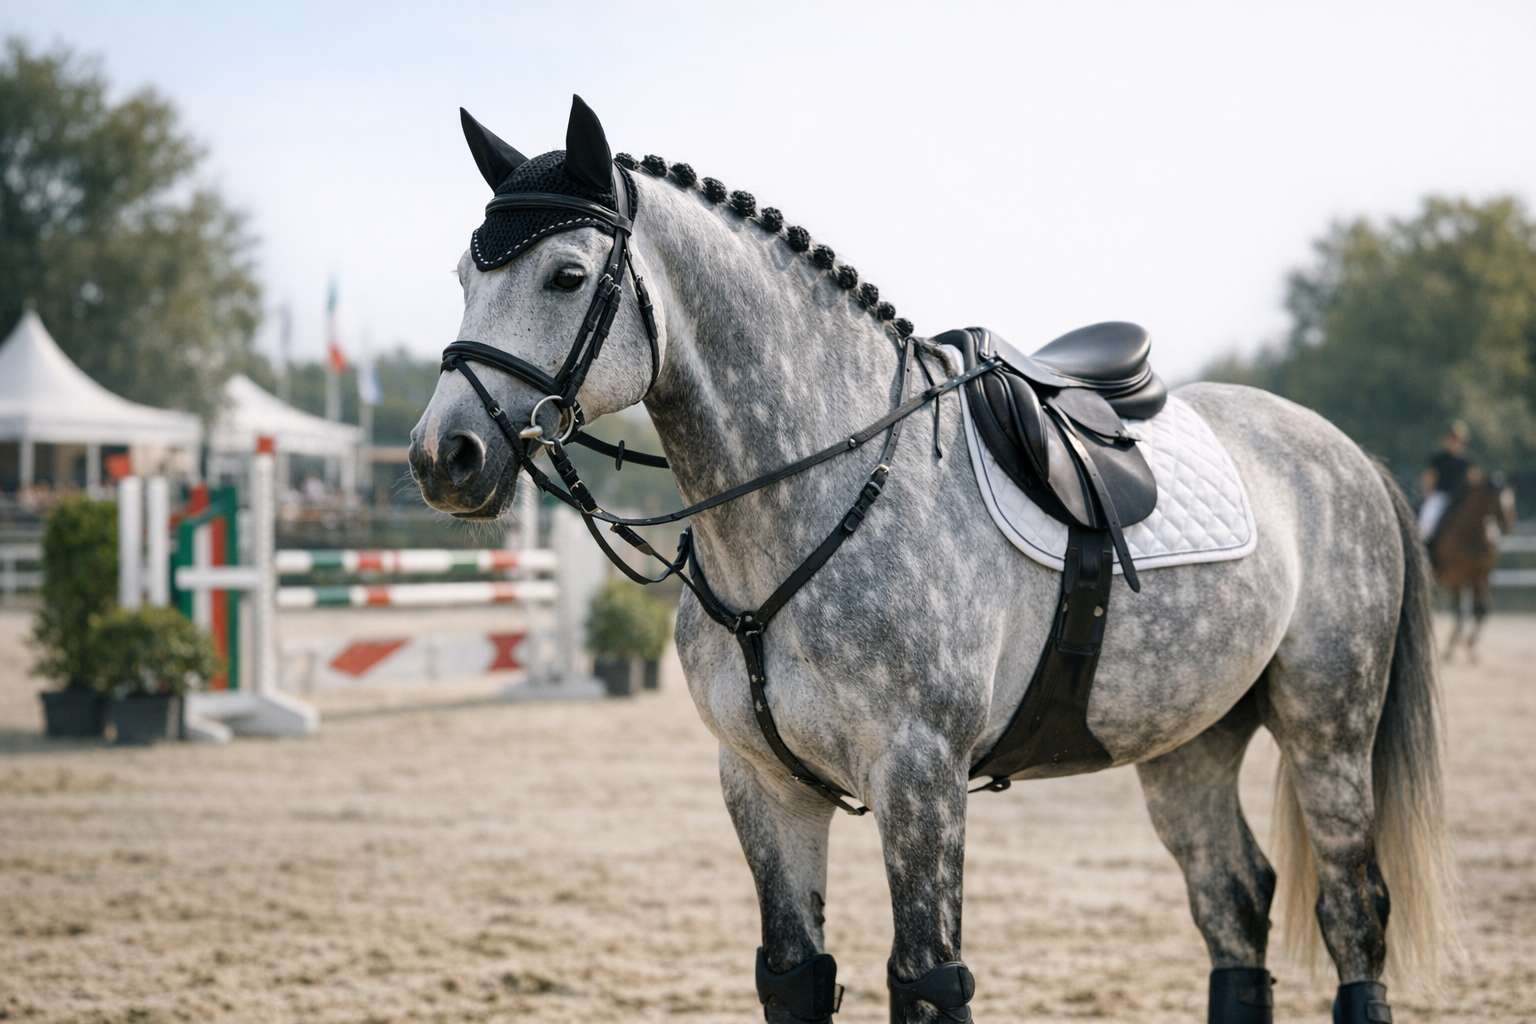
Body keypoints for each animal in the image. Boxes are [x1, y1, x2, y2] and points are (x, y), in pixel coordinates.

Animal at [409, 97, 1457, 1024]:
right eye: (462, 275)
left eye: (566, 275)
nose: (442, 456)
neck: (817, 493)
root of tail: (1344, 450)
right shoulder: (762, 787)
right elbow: (795, 979)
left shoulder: (919, 778)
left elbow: (927, 981)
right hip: (1186, 740)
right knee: (1233, 903)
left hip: (1328, 727)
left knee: (1351, 912)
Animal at [1431, 471, 1515, 659]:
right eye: (1497, 499)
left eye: (1512, 498)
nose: (1509, 526)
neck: (1474, 533)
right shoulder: (1456, 578)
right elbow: (1460, 612)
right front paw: (1452, 647)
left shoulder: (1481, 578)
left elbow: (1481, 611)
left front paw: (1470, 646)